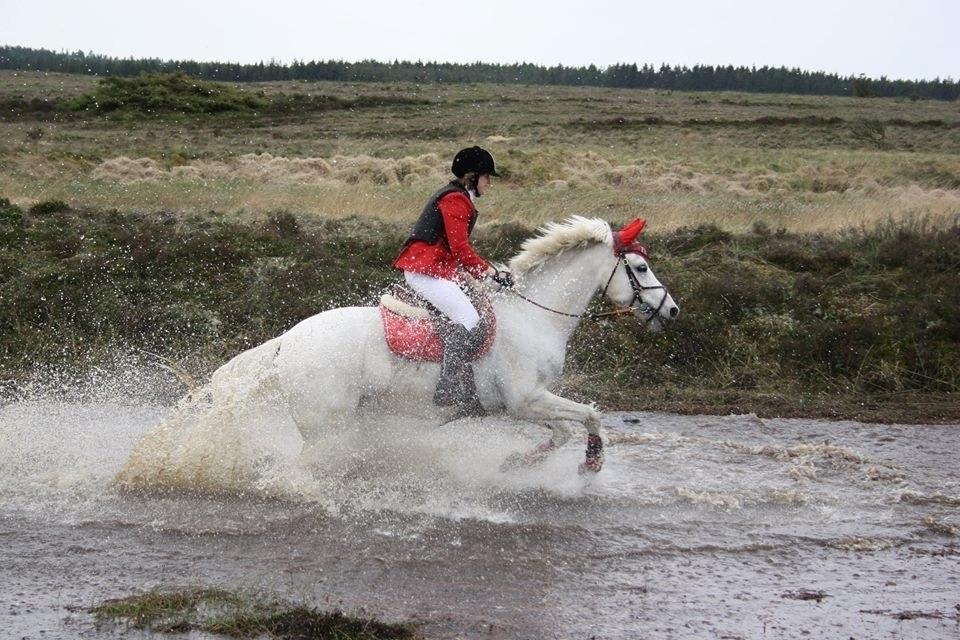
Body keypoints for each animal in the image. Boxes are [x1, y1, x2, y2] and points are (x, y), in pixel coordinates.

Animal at [116, 215, 680, 490]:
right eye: (641, 268)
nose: (672, 312)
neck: (533, 314)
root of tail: (285, 343)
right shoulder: (526, 400)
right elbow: (589, 416)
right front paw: (591, 466)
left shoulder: (524, 404)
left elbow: (563, 430)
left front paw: (516, 464)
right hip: (328, 422)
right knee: (303, 466)